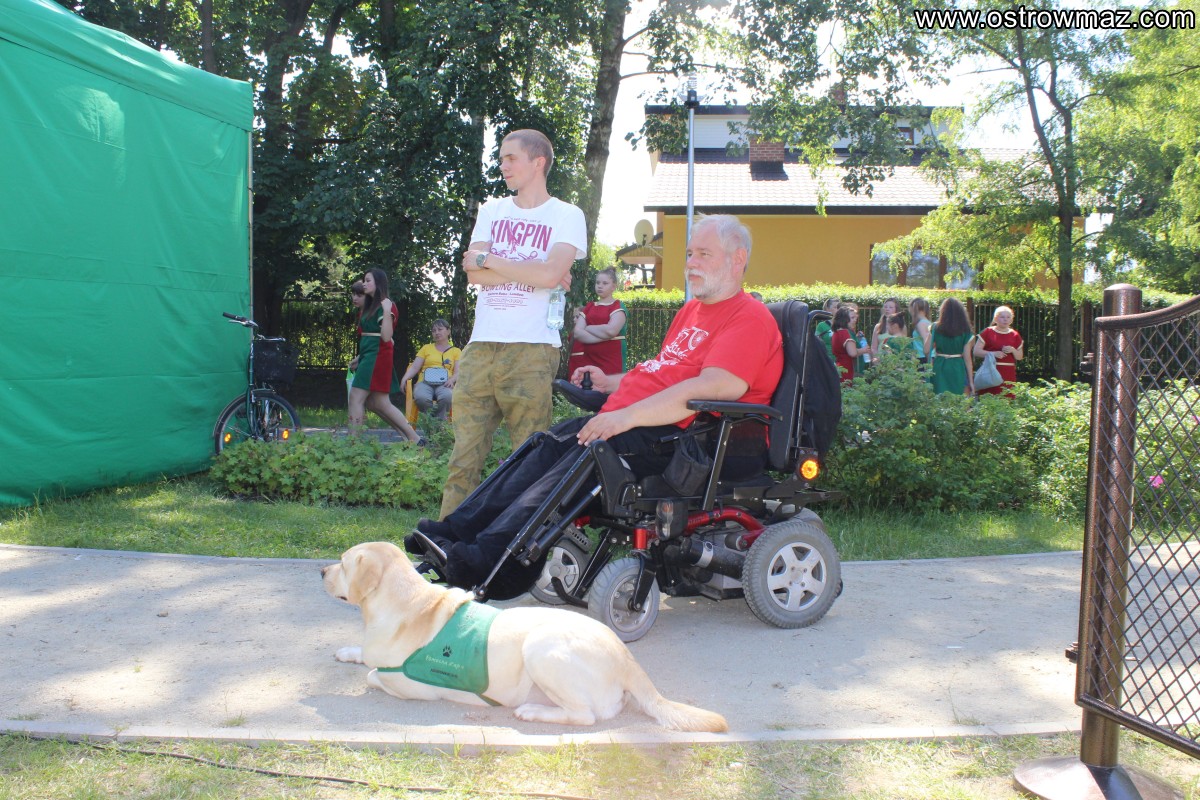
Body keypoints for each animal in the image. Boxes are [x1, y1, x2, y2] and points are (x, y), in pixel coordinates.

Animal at [322, 541, 727, 731]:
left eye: (343, 562)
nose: (322, 571)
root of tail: (626, 656)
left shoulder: (414, 685)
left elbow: (374, 674)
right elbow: (364, 654)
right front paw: (348, 650)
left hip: (540, 649)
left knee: (585, 716)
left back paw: (533, 711)